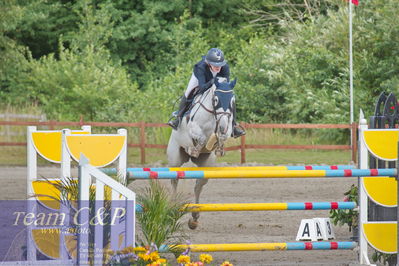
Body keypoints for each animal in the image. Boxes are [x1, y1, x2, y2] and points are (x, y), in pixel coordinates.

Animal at [166, 78, 236, 230]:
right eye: (216, 99)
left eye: (233, 100)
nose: (222, 126)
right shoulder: (193, 128)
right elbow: (202, 138)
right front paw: (196, 149)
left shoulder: (227, 129)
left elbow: (222, 137)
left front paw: (219, 147)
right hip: (175, 159)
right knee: (174, 180)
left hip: (207, 165)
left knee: (198, 185)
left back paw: (194, 217)